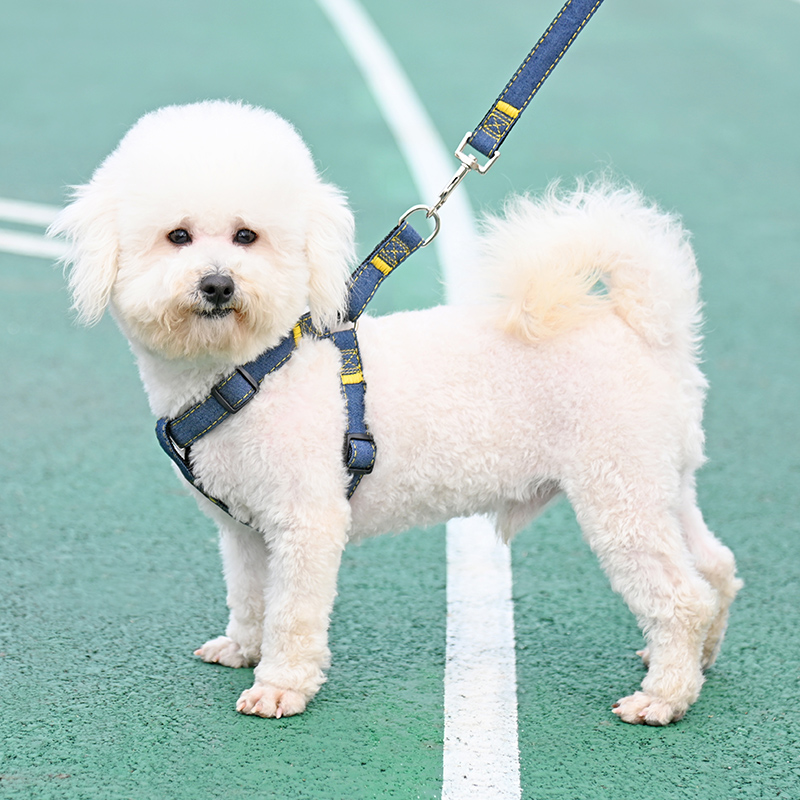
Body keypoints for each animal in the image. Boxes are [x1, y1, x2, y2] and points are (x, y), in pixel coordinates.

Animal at [50, 100, 740, 724]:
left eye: (247, 235)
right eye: (178, 236)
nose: (219, 284)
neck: (251, 371)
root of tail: (646, 330)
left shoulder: (306, 522)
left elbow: (291, 614)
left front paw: (280, 687)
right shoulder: (244, 530)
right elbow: (250, 598)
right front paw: (243, 649)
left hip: (617, 494)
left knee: (681, 596)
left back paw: (664, 697)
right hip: (661, 484)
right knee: (715, 570)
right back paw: (695, 664)